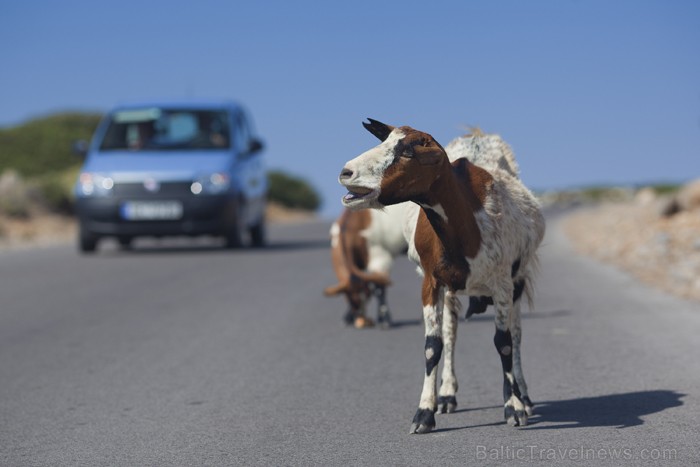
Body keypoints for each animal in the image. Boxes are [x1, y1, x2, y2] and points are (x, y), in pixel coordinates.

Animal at [340, 119, 548, 436]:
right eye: (384, 142)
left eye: (407, 153)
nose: (346, 172)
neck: (466, 224)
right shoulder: (431, 283)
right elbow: (433, 346)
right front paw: (425, 413)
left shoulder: (502, 284)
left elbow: (504, 343)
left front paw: (514, 408)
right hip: (452, 291)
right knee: (452, 333)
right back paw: (448, 395)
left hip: (518, 281)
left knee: (516, 335)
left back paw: (522, 396)